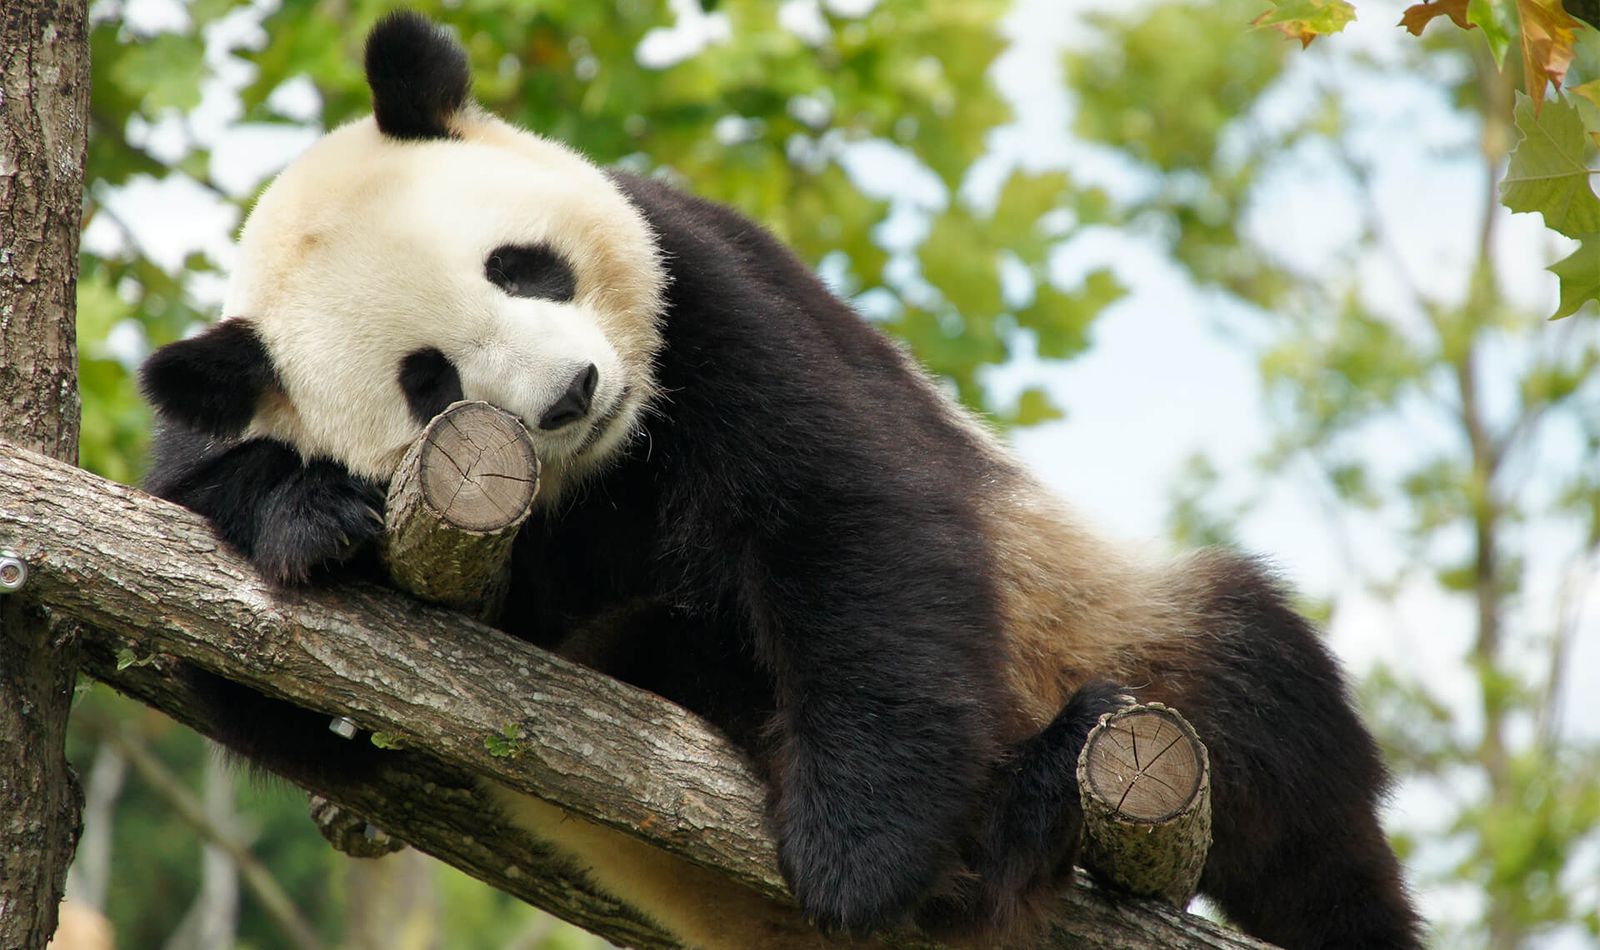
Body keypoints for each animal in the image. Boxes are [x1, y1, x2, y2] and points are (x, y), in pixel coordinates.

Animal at [144, 12, 1427, 946]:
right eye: (428, 381)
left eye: (523, 266)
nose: (570, 393)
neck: (603, 476)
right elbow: (273, 695)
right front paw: (306, 512)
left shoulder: (705, 292)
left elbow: (842, 516)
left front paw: (858, 852)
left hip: (1116, 629)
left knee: (1273, 737)